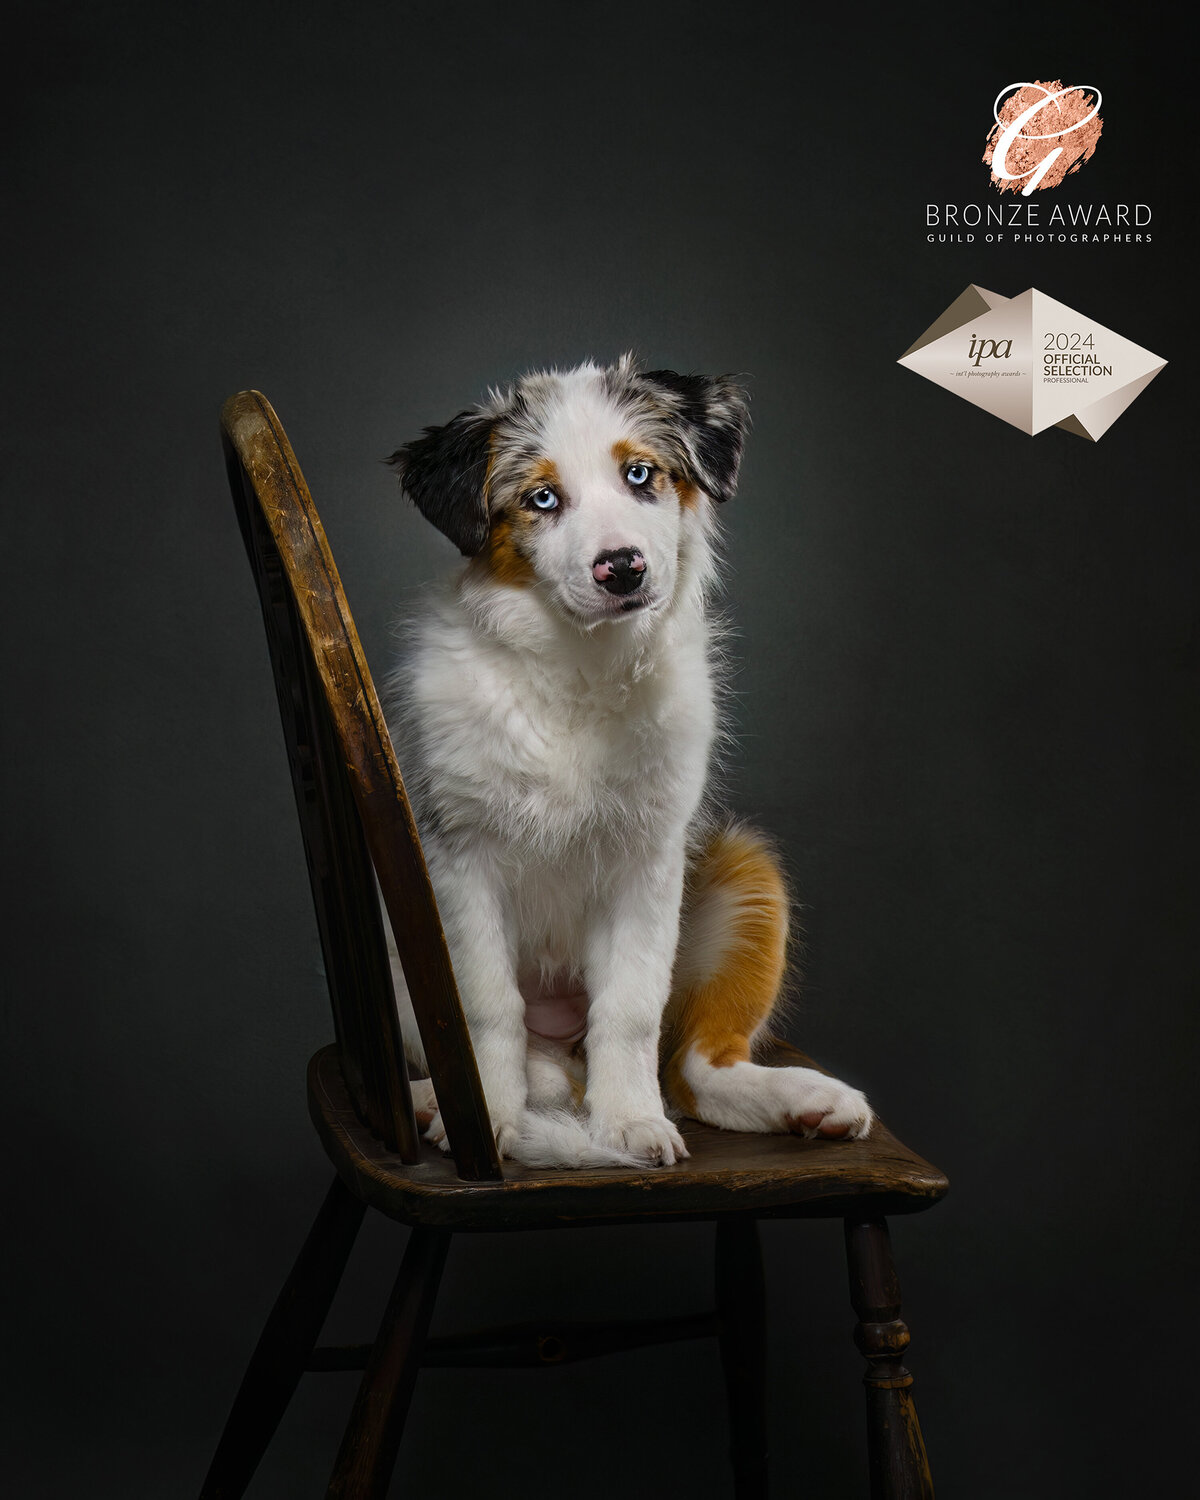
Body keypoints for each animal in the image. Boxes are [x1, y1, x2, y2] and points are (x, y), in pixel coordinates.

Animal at [384, 357, 870, 1164]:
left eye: (640, 474)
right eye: (542, 498)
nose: (622, 568)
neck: (577, 670)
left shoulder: (649, 855)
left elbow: (632, 1007)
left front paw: (631, 1121)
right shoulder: (459, 856)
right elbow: (486, 1005)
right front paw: (489, 1117)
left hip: (745, 871)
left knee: (695, 1064)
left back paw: (801, 1099)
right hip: (399, 948)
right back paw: (435, 1104)